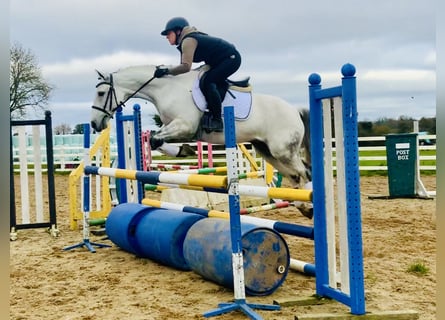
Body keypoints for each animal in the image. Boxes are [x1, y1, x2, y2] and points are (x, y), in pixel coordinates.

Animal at [89, 64, 312, 192]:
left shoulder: (184, 126)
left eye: (100, 93)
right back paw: (304, 207)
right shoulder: (173, 126)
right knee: (295, 174)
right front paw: (184, 150)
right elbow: (155, 140)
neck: (166, 89)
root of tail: (295, 111)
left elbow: (155, 139)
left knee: (304, 172)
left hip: (282, 150)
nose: (94, 123)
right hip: (265, 149)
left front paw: (184, 150)